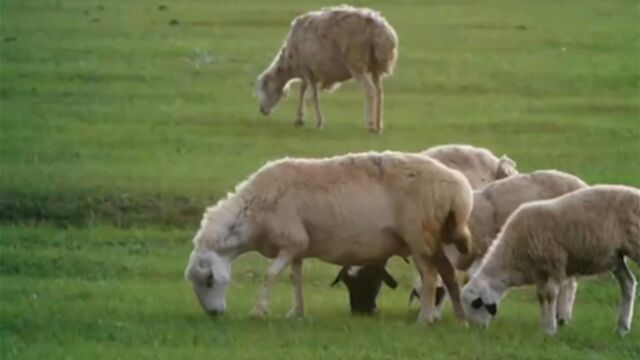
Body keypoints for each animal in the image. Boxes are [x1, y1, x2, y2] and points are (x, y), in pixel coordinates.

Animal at [182, 150, 472, 322]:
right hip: (435, 238)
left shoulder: (292, 239)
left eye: (209, 280)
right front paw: (296, 312)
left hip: (419, 235)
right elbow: (295, 277)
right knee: (448, 275)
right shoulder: (297, 247)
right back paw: (460, 319)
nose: (214, 314)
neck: (253, 214)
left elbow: (271, 275)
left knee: (430, 276)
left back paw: (425, 319)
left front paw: (259, 311)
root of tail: (459, 188)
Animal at [254, 4, 396, 132]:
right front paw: (300, 119)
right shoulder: (308, 72)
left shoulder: (306, 69)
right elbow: (303, 90)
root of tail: (380, 30)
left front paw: (318, 122)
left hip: (356, 64)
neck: (290, 64)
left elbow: (313, 95)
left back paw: (371, 124)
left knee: (370, 91)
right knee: (379, 91)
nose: (262, 110)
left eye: (264, 87)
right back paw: (378, 125)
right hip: (377, 66)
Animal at [460, 184, 640, 336]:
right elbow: (541, 296)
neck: (513, 255)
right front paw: (545, 325)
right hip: (615, 257)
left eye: (475, 303)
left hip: (634, 245)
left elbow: (551, 294)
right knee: (628, 283)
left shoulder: (554, 263)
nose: (477, 330)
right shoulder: (540, 271)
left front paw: (551, 329)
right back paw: (622, 328)